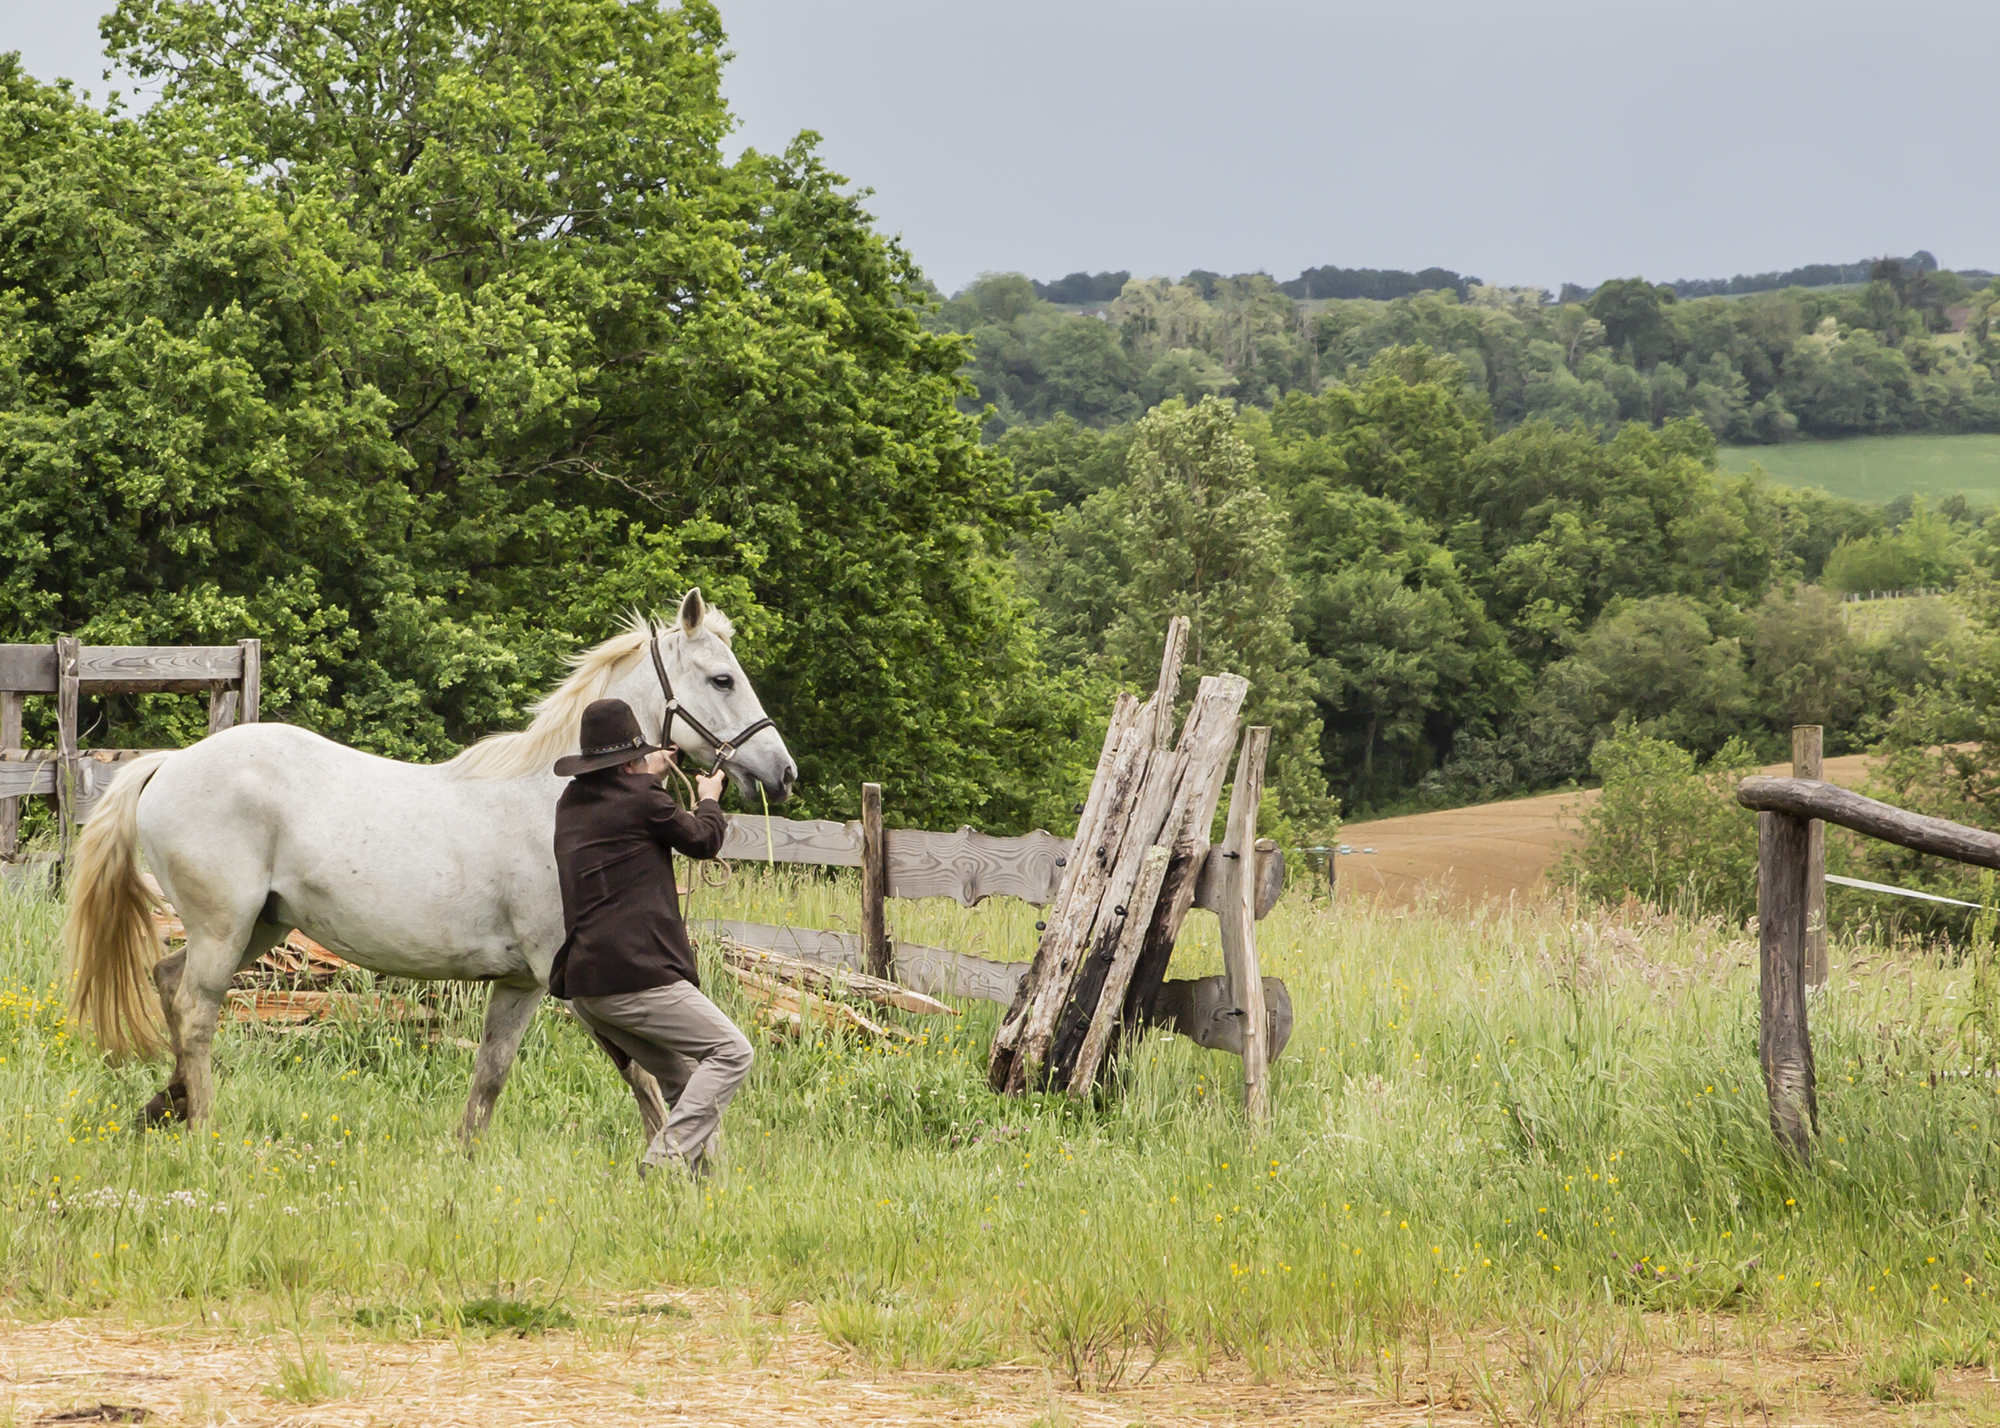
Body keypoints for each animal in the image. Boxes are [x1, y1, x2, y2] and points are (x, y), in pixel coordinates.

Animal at [62, 588, 797, 1150]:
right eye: (723, 679)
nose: (782, 772)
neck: (558, 795)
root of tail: (169, 764)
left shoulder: (521, 983)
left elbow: (492, 1072)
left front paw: (466, 1158)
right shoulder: (575, 979)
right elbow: (642, 1073)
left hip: (259, 927)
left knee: (168, 980)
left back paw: (168, 1104)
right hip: (225, 928)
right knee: (195, 1010)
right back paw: (203, 1129)